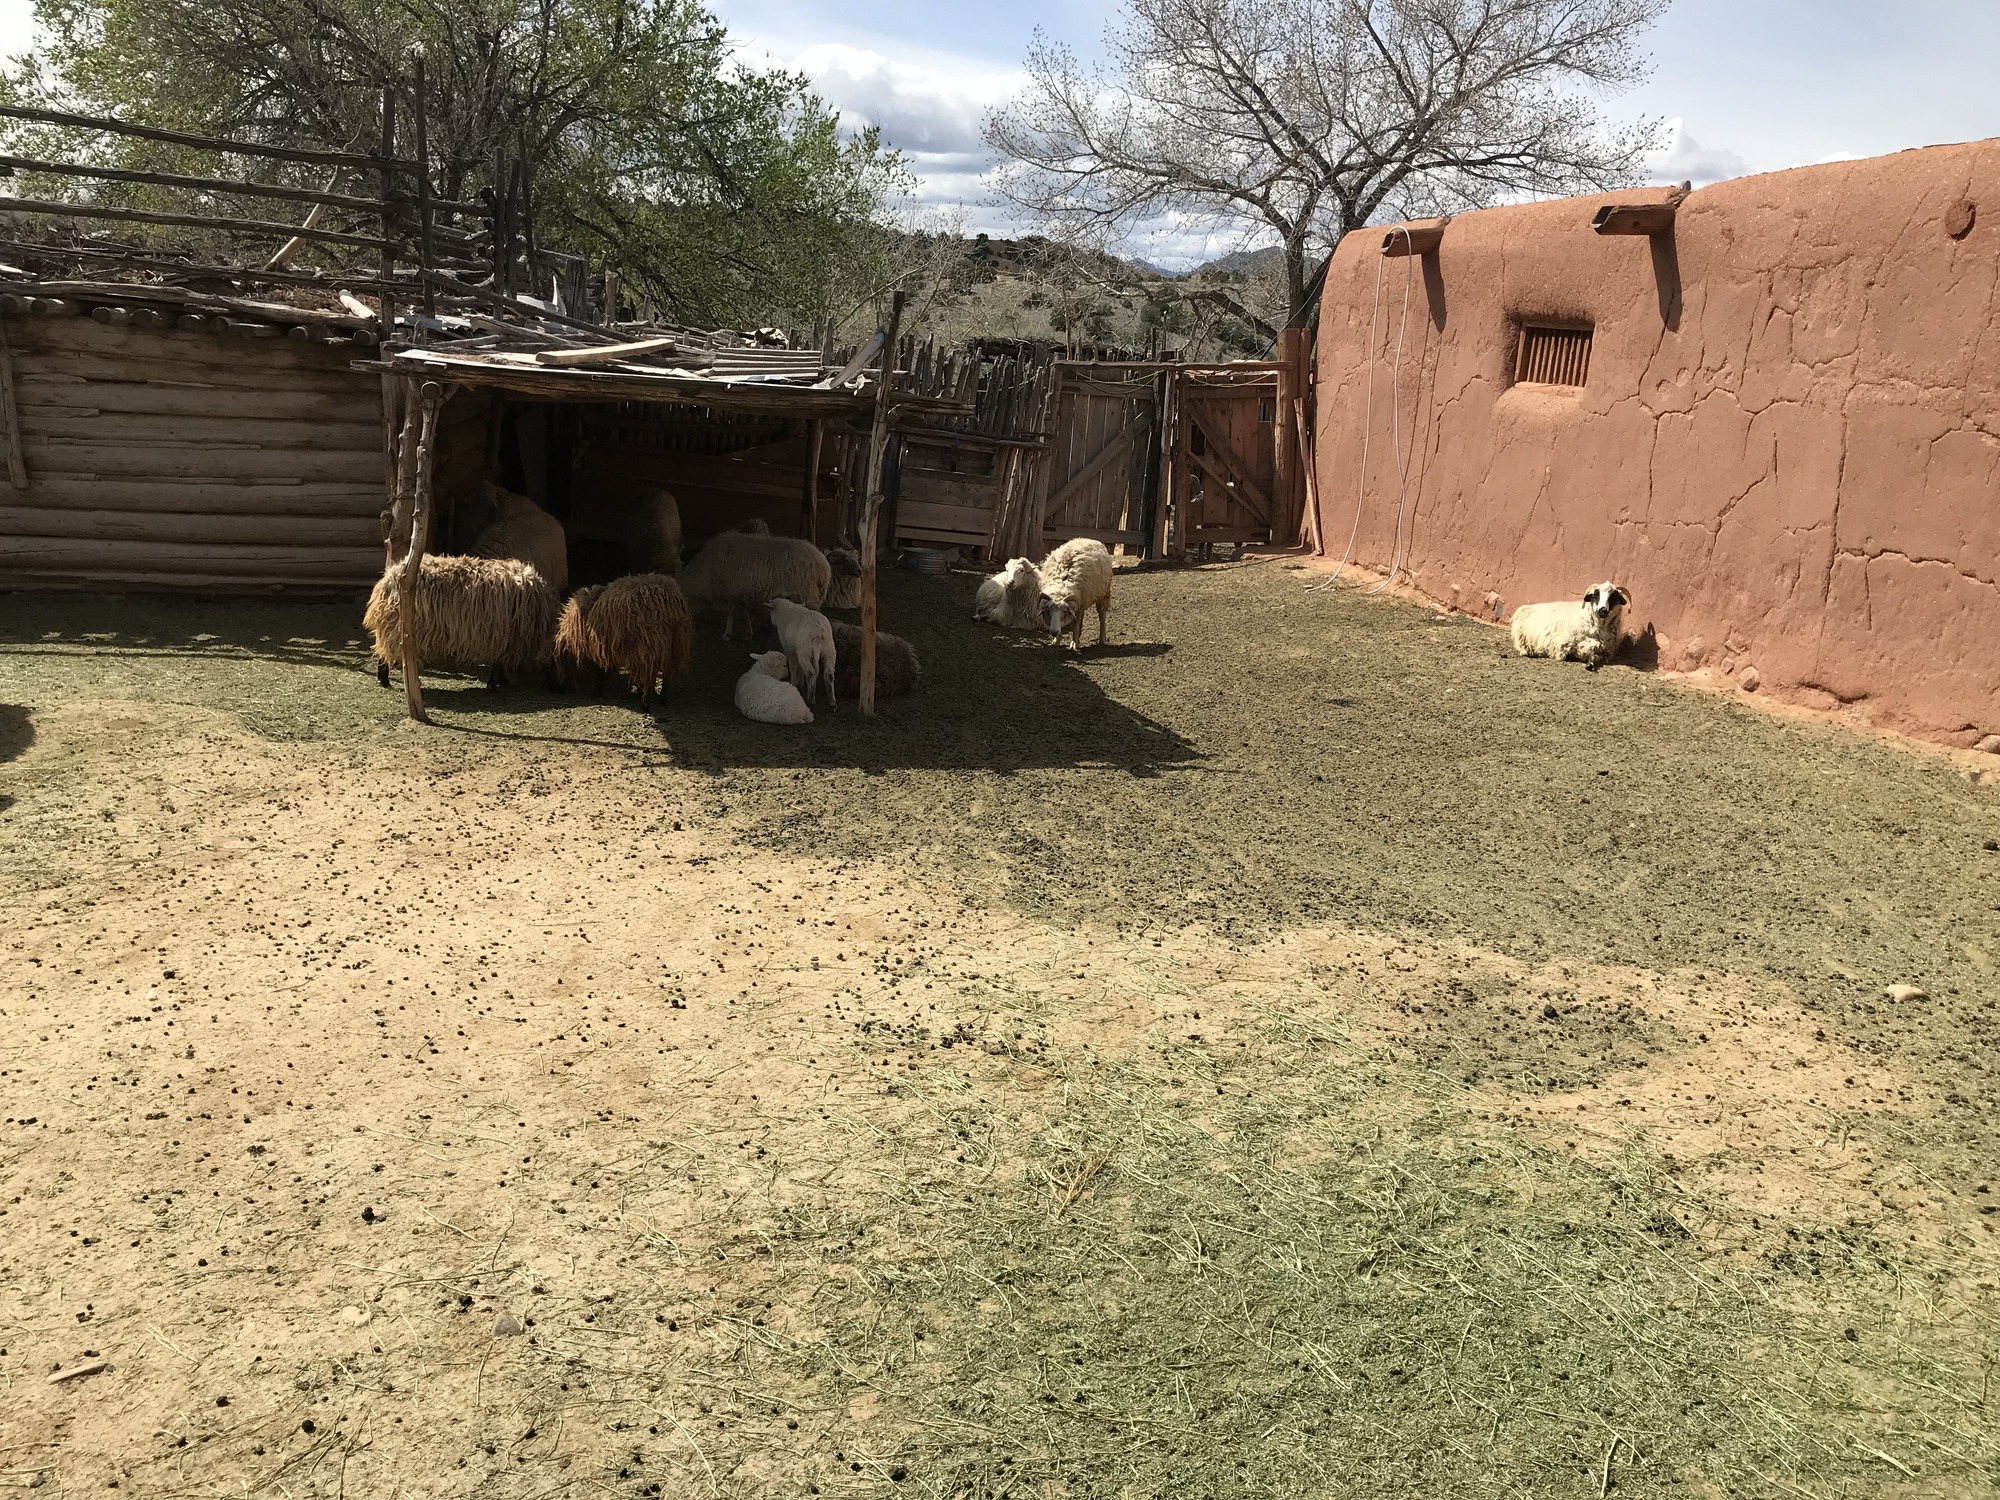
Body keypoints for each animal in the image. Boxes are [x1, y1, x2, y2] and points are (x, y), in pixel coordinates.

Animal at [364, 555, 558, 690]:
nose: (555, 688)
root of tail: (389, 579)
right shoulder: (503, 635)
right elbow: (498, 663)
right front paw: (496, 683)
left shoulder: (501, 637)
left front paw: (499, 681)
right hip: (399, 627)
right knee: (386, 654)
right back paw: (389, 679)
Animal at [556, 573, 694, 705]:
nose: (560, 688)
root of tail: (668, 604)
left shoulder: (607, 648)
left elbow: (604, 671)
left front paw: (599, 690)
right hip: (676, 642)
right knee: (666, 672)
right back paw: (662, 698)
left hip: (650, 643)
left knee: (650, 673)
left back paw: (645, 702)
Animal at [679, 531, 831, 638]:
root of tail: (823, 565)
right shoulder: (741, 591)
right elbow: (745, 610)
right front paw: (748, 633)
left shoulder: (729, 590)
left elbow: (731, 611)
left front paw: (727, 634)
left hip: (806, 593)